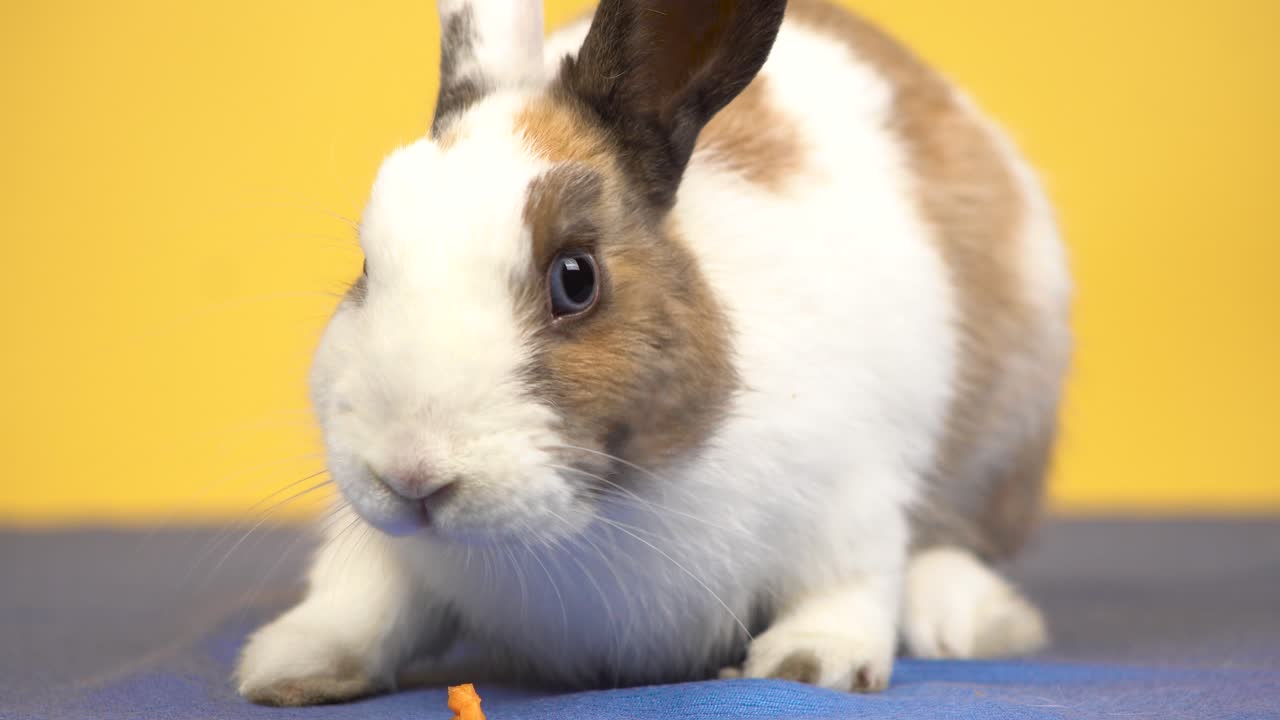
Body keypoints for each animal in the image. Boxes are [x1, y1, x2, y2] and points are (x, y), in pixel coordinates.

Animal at [234, 0, 1071, 706]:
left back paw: (968, 617)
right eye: (366, 268)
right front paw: (290, 665)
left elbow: (846, 580)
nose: (410, 476)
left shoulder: (851, 489)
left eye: (576, 278)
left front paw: (810, 663)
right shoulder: (380, 545)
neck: (588, 522)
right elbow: (362, 592)